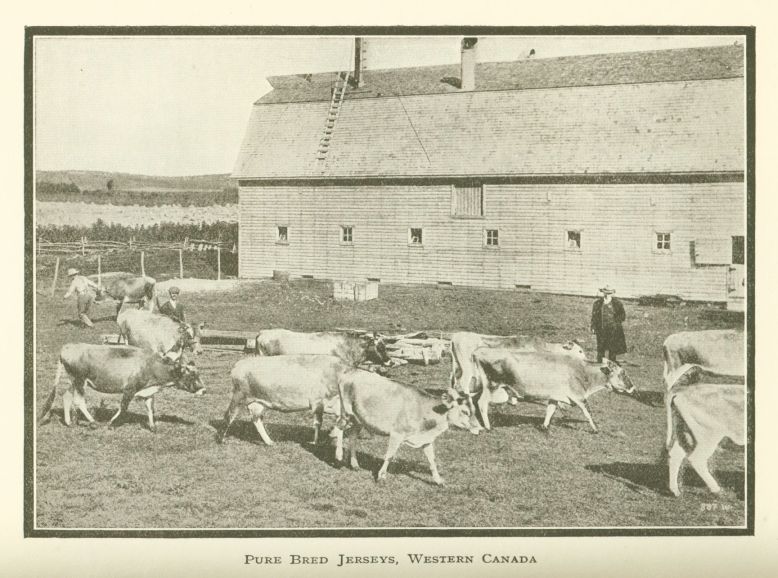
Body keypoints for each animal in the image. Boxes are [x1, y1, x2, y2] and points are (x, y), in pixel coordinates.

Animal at [38, 340, 205, 430]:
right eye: (192, 375)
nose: (203, 390)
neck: (150, 365)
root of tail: (67, 347)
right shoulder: (129, 389)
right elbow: (123, 407)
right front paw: (112, 423)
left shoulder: (148, 391)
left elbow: (150, 408)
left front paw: (152, 427)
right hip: (80, 380)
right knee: (78, 401)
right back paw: (92, 422)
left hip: (73, 380)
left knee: (66, 396)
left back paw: (69, 422)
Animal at [330, 366, 476, 484]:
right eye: (465, 411)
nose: (478, 428)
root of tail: (351, 371)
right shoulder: (397, 433)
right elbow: (389, 455)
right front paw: (381, 476)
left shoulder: (426, 438)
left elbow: (432, 459)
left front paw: (438, 480)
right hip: (345, 411)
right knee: (339, 427)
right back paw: (339, 456)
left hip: (358, 418)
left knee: (352, 436)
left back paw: (354, 464)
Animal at [470, 346, 632, 432]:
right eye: (623, 373)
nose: (633, 387)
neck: (584, 371)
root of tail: (479, 351)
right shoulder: (578, 396)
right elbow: (588, 412)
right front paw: (596, 429)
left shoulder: (555, 396)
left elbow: (550, 410)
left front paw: (544, 426)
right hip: (492, 385)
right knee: (482, 403)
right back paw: (488, 426)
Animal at [664, 364, 744, 496]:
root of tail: (682, 391)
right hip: (709, 435)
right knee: (696, 458)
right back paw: (717, 490)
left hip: (684, 431)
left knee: (675, 454)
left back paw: (675, 491)